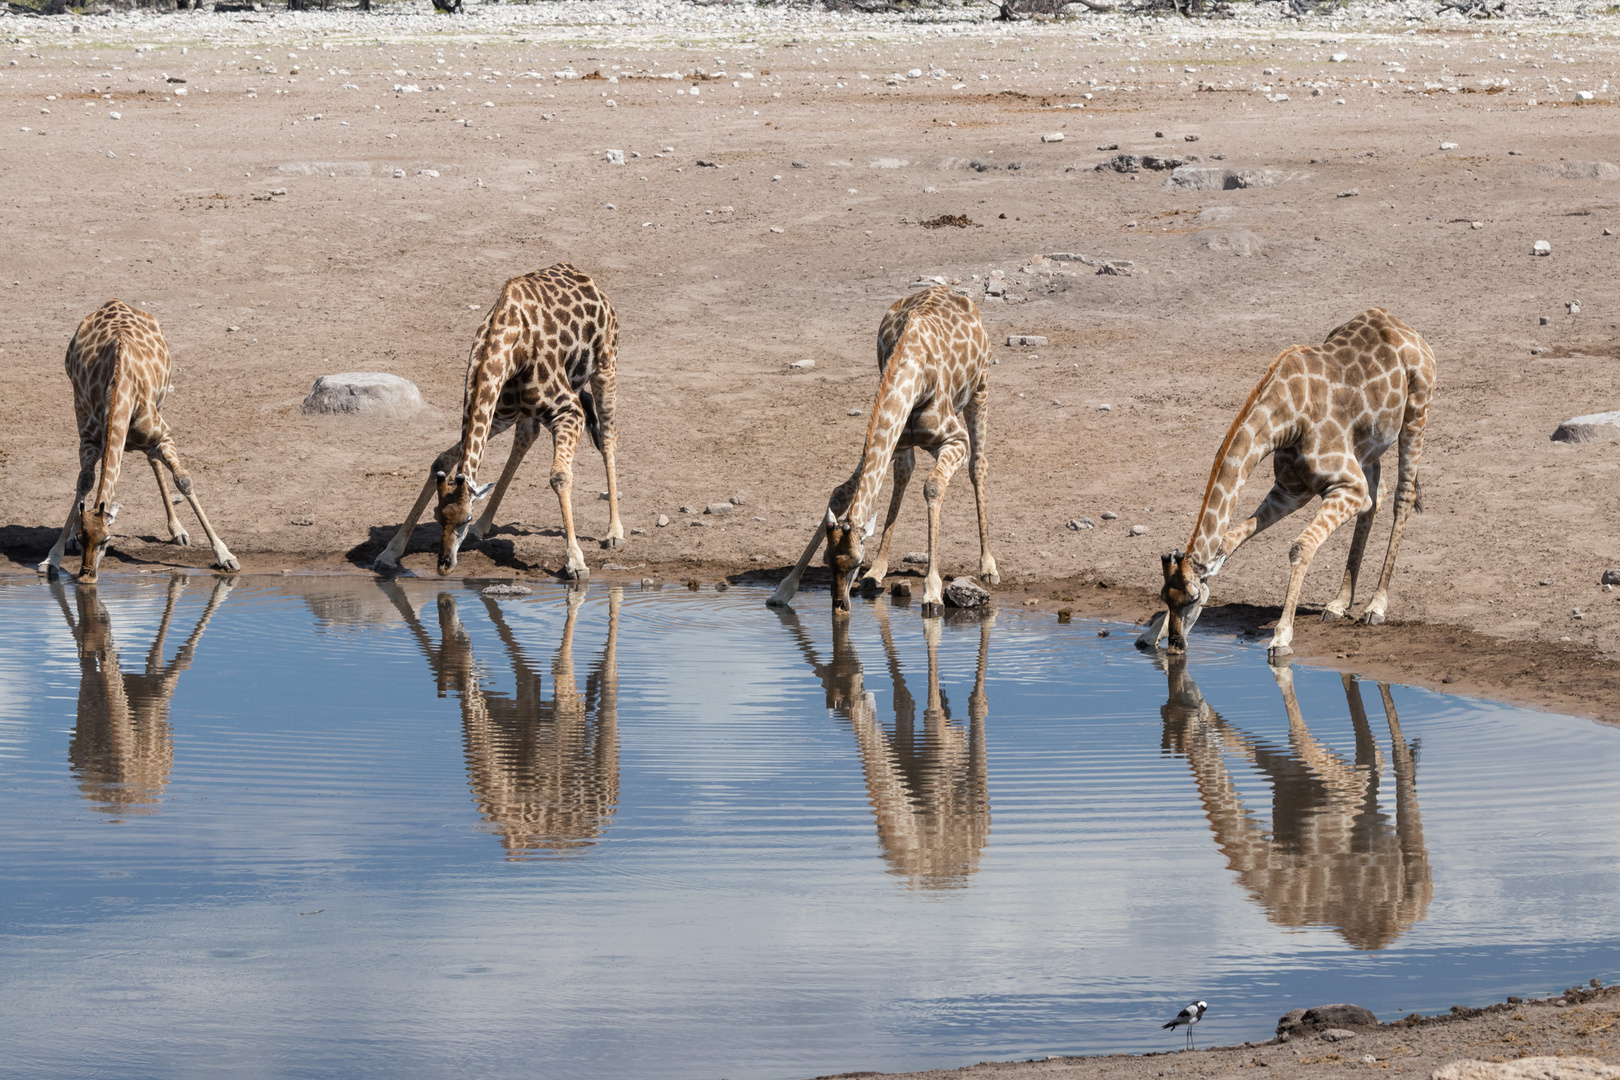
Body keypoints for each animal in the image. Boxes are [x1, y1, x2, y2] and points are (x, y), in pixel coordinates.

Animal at [37, 299, 236, 582]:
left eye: (106, 541)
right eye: (84, 538)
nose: (86, 577)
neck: (120, 390)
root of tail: (114, 302)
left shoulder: (162, 435)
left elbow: (183, 480)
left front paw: (225, 555)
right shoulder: (89, 439)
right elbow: (84, 482)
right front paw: (53, 556)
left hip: (161, 403)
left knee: (153, 461)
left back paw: (178, 530)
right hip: (78, 404)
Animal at [370, 262, 622, 579]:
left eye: (465, 519)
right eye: (438, 517)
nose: (444, 565)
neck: (508, 347)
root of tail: (586, 278)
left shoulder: (569, 411)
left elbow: (560, 476)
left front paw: (575, 562)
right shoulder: (496, 414)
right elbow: (442, 459)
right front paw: (390, 552)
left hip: (606, 366)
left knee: (609, 437)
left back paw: (614, 532)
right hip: (519, 414)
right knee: (526, 438)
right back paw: (485, 526)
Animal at [764, 286, 991, 615]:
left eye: (856, 563)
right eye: (828, 561)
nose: (839, 605)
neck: (913, 374)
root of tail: (948, 290)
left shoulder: (955, 440)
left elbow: (933, 486)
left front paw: (932, 591)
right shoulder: (888, 440)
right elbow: (840, 493)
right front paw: (784, 590)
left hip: (981, 388)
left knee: (978, 465)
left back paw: (988, 566)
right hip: (905, 444)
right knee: (904, 472)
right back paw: (879, 569)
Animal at [1134, 306, 1438, 660]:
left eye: (1193, 600)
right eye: (1164, 598)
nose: (1175, 646)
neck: (1286, 417)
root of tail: (1402, 325)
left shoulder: (1347, 488)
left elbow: (1300, 546)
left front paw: (1281, 637)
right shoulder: (1291, 490)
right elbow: (1228, 542)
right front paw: (1149, 634)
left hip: (1417, 410)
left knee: (1402, 495)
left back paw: (1376, 606)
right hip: (1368, 446)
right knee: (1377, 495)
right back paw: (1338, 603)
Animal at [1159, 654, 1425, 952]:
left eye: (1180, 702)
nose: (1186, 681)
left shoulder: (1346, 795)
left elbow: (1300, 737)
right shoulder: (1287, 778)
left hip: (1415, 866)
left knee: (1398, 764)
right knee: (1374, 751)